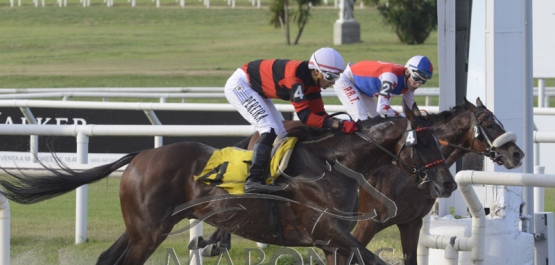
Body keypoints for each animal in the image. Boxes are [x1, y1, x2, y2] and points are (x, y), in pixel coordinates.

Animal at [0, 102, 456, 262]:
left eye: (441, 137)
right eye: (423, 141)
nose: (448, 185)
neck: (335, 163)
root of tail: (141, 156)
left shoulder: (334, 241)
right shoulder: (328, 232)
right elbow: (375, 259)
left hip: (141, 228)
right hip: (148, 233)